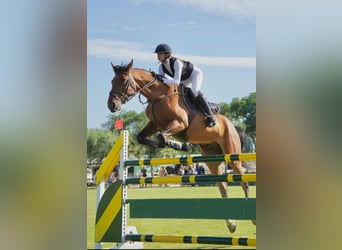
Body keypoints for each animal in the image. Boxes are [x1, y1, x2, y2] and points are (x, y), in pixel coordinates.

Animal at [107, 58, 254, 232]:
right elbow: (143, 137)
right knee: (223, 185)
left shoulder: (179, 123)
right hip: (212, 159)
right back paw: (231, 224)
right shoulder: (154, 124)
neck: (159, 96)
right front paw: (184, 146)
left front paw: (182, 146)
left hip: (232, 156)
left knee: (243, 181)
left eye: (123, 81)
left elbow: (162, 137)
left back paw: (251, 218)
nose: (112, 105)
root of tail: (232, 125)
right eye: (112, 81)